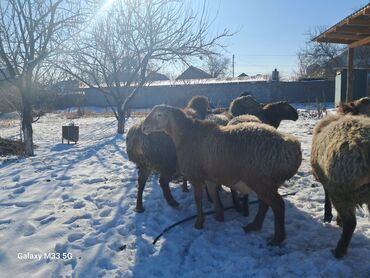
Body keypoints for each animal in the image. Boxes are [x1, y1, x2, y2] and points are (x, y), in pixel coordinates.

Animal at [141, 105, 300, 245]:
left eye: (159, 115)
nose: (144, 127)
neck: (186, 136)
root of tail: (292, 148)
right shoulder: (209, 177)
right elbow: (213, 194)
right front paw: (219, 216)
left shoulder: (196, 176)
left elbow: (198, 199)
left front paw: (199, 223)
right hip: (266, 183)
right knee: (265, 204)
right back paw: (254, 225)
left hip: (261, 181)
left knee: (278, 205)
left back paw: (277, 238)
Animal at [312, 98, 370, 258]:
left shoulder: (329, 182)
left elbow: (326, 196)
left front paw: (329, 217)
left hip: (341, 190)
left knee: (351, 223)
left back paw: (338, 251)